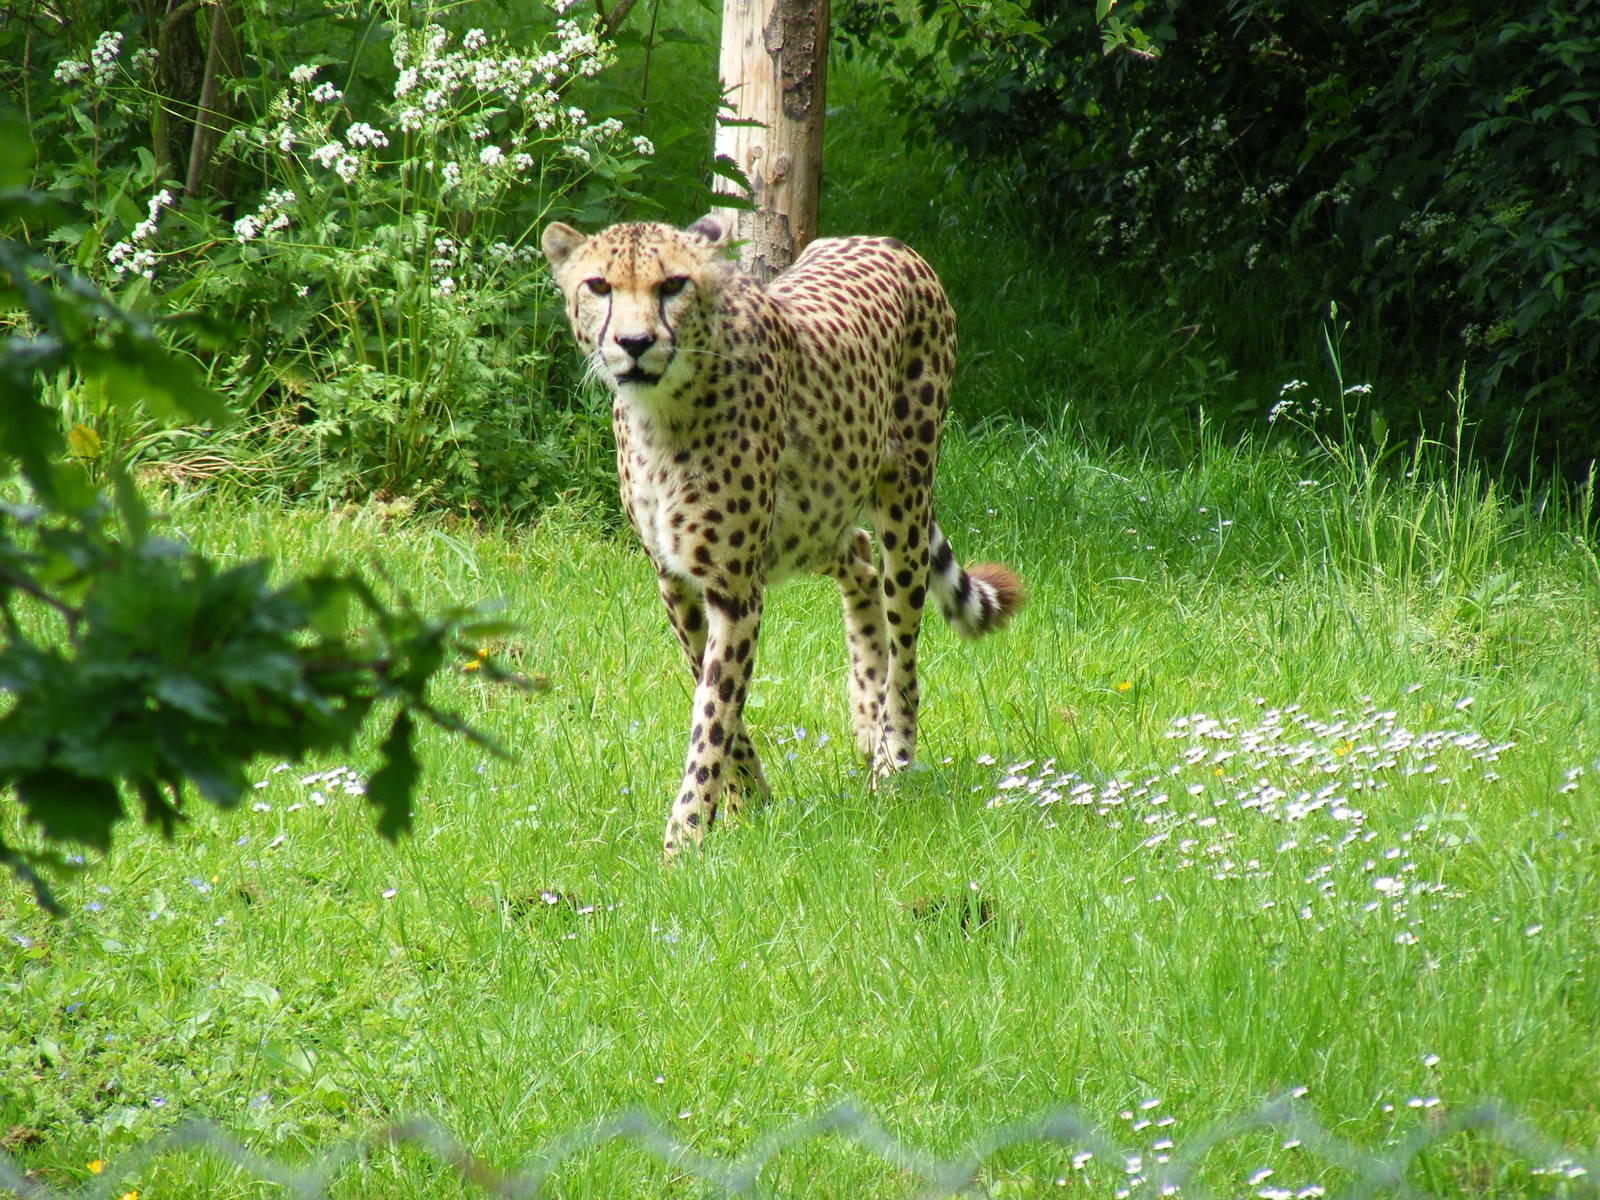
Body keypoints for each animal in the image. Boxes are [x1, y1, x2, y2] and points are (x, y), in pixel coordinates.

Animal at [541, 213, 1022, 856]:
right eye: (599, 286)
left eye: (673, 285)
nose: (635, 344)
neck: (664, 413)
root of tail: (887, 241)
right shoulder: (676, 582)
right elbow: (717, 698)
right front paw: (748, 802)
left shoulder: (734, 587)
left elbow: (713, 714)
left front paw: (683, 840)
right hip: (814, 517)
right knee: (858, 557)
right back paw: (865, 713)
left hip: (904, 498)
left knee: (905, 642)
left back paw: (891, 758)